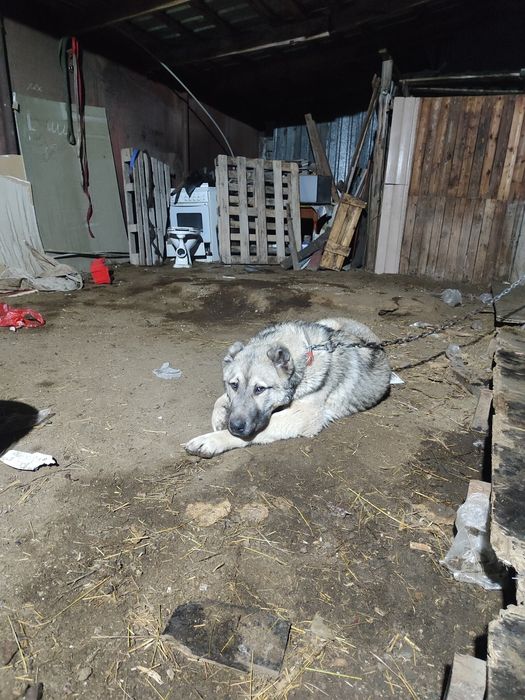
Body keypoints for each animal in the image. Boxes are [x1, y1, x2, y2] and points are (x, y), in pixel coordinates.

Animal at [185, 318, 391, 458]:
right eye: (234, 385)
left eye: (260, 389)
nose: (235, 426)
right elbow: (220, 399)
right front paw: (219, 417)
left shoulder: (302, 417)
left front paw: (212, 440)